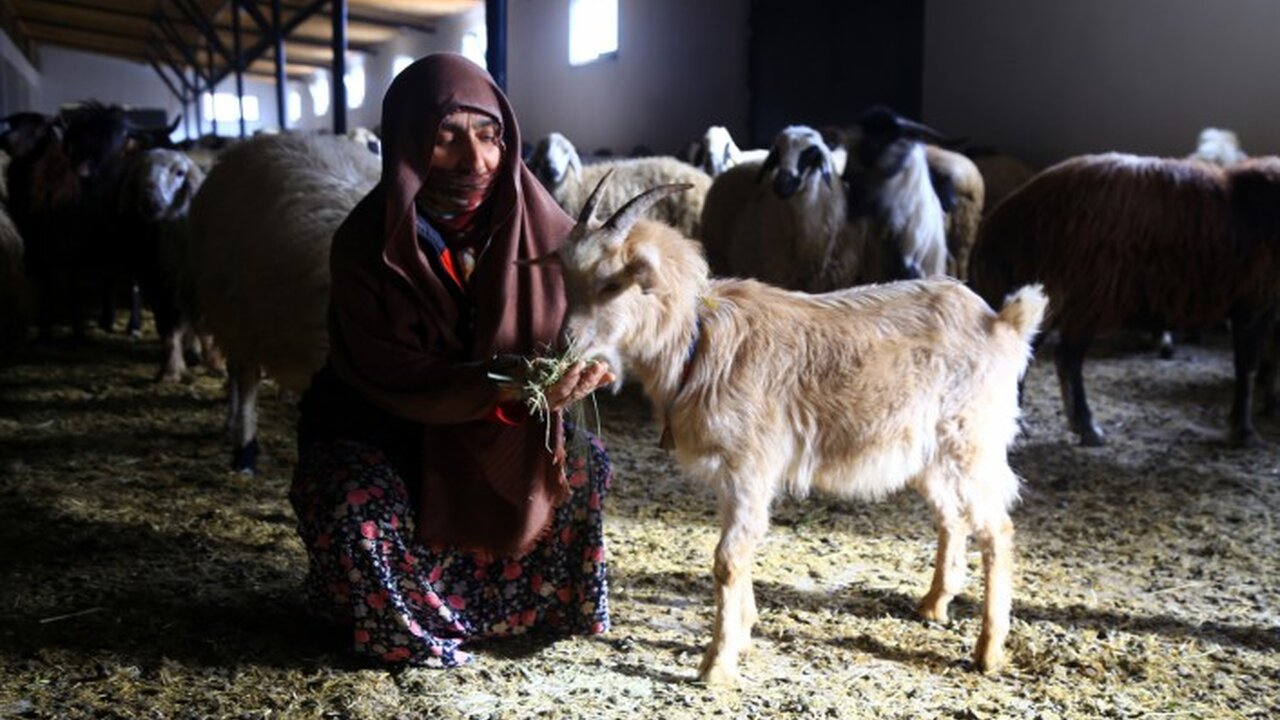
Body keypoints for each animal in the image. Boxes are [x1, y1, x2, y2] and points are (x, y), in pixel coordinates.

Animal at [558, 175, 1046, 684]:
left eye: (613, 283)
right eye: (566, 277)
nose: (564, 344)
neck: (698, 340)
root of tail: (1002, 323)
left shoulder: (749, 465)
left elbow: (728, 559)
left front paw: (716, 664)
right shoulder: (735, 474)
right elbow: (744, 546)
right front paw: (744, 632)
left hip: (972, 441)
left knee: (997, 529)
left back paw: (988, 650)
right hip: (929, 454)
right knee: (952, 517)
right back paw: (933, 604)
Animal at [968, 152, 1280, 447]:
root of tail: (1001, 220)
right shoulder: (1256, 305)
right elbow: (1248, 367)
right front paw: (1244, 431)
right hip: (1080, 295)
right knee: (1062, 357)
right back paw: (1080, 428)